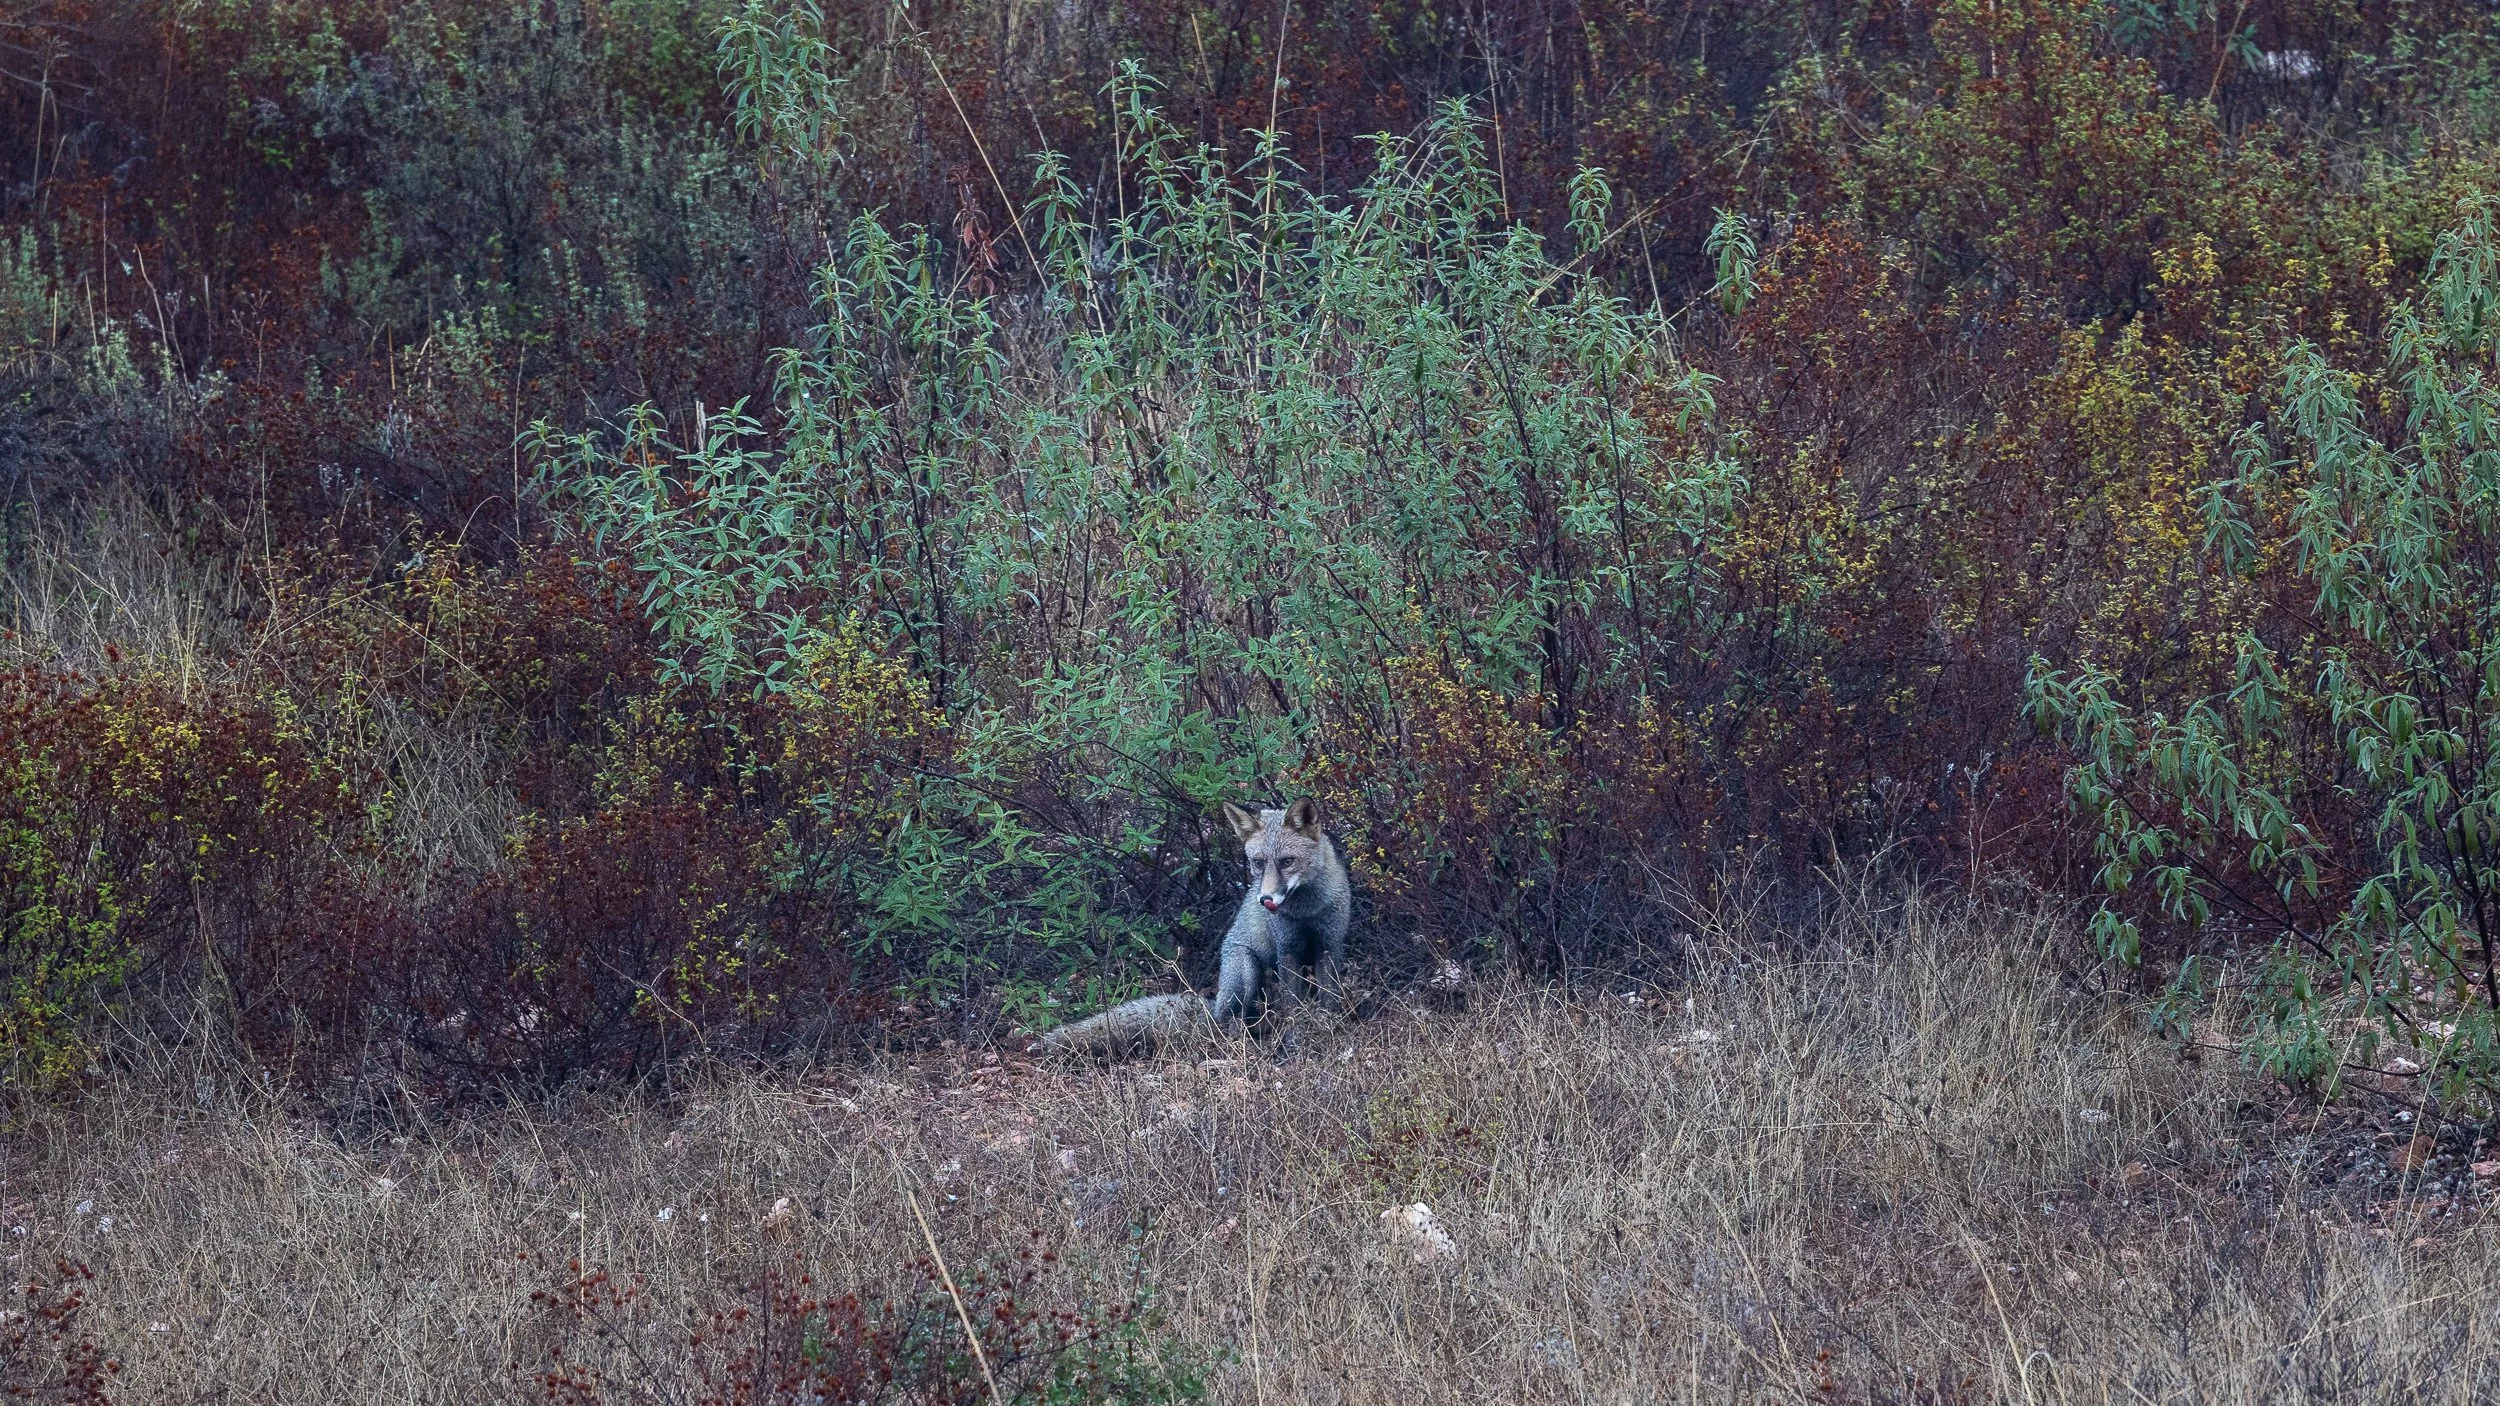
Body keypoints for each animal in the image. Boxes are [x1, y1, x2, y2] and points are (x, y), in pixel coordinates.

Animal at [1036, 798, 1351, 1058]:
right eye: (1258, 863)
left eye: (1287, 862)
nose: (1265, 900)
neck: (1307, 912)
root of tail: (1213, 1005)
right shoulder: (1287, 951)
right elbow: (1294, 1010)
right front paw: (1296, 1045)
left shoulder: (1329, 946)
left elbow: (1329, 999)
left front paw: (1329, 1033)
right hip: (1245, 975)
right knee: (1230, 1023)